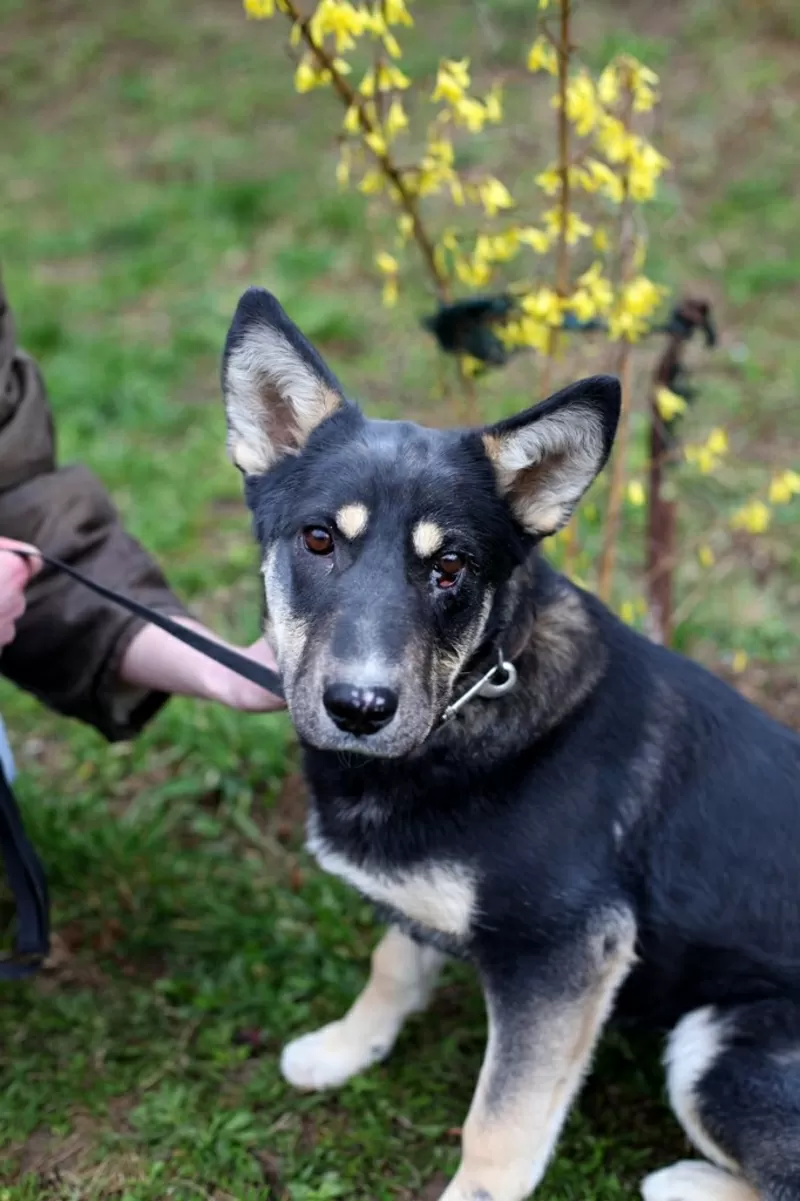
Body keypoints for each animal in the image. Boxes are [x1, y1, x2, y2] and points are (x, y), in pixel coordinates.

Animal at [218, 288, 797, 1201]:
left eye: (450, 565)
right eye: (317, 539)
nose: (359, 707)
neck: (469, 705)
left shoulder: (566, 957)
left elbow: (502, 1120)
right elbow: (393, 961)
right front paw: (347, 1046)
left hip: (719, 1047)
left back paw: (685, 1181)